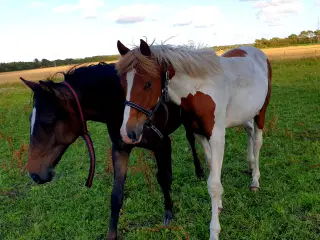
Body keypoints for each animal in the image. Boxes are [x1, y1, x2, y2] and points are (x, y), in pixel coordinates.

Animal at [20, 62, 205, 240]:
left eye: (47, 122)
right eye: (30, 120)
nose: (34, 174)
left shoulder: (162, 143)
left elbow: (164, 179)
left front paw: (168, 214)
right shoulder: (120, 149)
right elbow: (116, 195)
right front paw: (111, 235)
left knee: (191, 141)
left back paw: (200, 172)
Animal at [114, 38, 272, 239]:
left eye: (148, 84)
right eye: (123, 85)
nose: (128, 133)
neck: (199, 90)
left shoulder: (217, 136)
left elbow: (213, 184)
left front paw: (214, 231)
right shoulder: (199, 135)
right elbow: (213, 171)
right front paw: (219, 204)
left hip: (261, 112)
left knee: (258, 141)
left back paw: (255, 180)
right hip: (245, 113)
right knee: (249, 131)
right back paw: (250, 166)